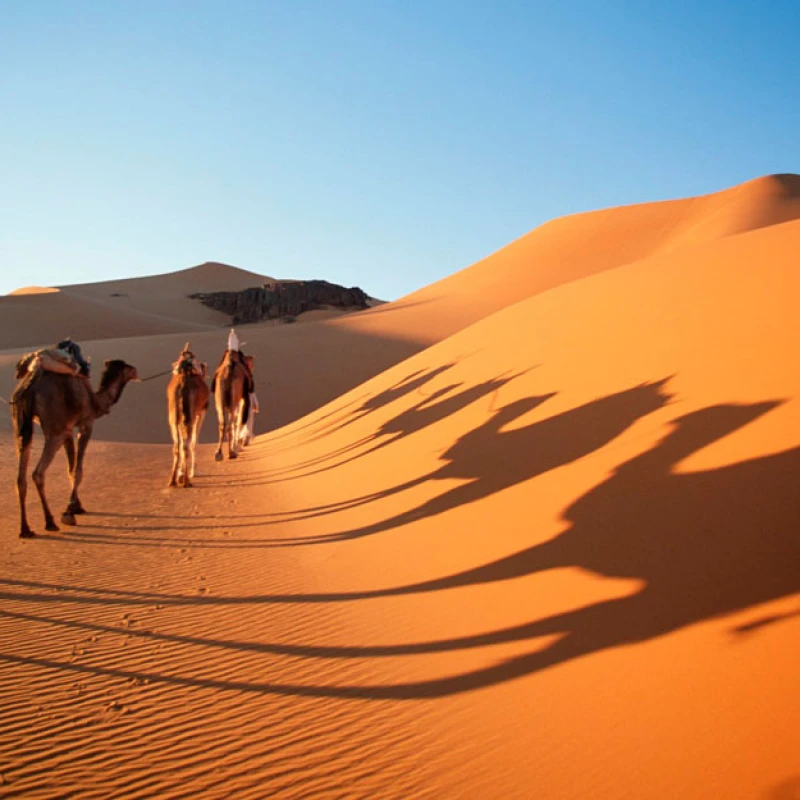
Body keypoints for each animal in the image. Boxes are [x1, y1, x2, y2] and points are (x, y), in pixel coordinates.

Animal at [11, 360, 139, 536]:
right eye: (127, 366)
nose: (136, 371)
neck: (95, 400)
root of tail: (30, 385)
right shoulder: (85, 424)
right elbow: (78, 471)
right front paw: (70, 511)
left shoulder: (68, 430)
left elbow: (70, 469)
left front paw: (77, 506)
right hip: (55, 431)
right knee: (38, 473)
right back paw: (50, 522)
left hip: (21, 425)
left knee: (20, 477)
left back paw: (25, 529)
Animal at [167, 344, 211, 488]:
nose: (204, 365)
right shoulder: (201, 412)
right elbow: (194, 441)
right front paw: (193, 472)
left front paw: (180, 475)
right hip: (190, 414)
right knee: (186, 444)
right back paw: (186, 481)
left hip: (173, 417)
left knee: (177, 445)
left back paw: (172, 480)